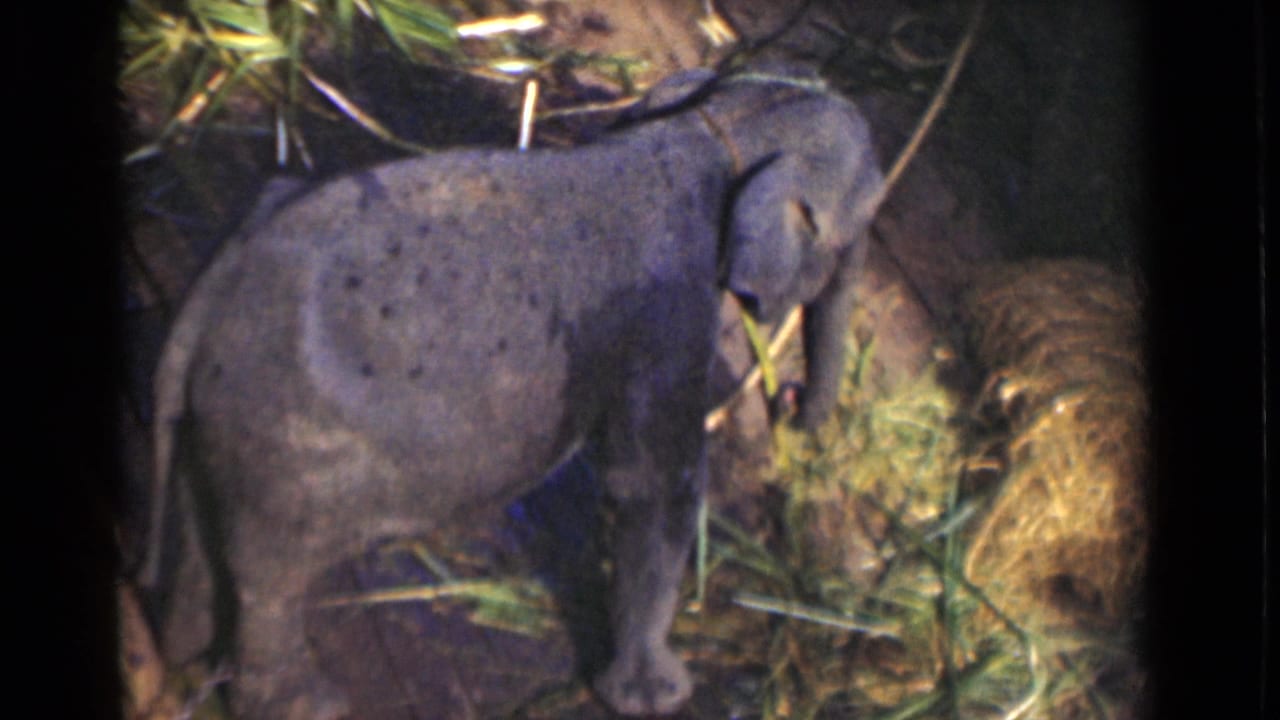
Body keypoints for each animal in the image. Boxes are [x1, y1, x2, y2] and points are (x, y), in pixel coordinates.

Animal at [142, 64, 884, 718]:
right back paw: (309, 704)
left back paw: (187, 651)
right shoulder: (665, 314)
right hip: (291, 445)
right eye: (859, 223)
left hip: (218, 419)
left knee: (206, 525)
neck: (703, 127)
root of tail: (210, 297)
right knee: (272, 575)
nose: (788, 401)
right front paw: (659, 697)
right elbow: (650, 484)